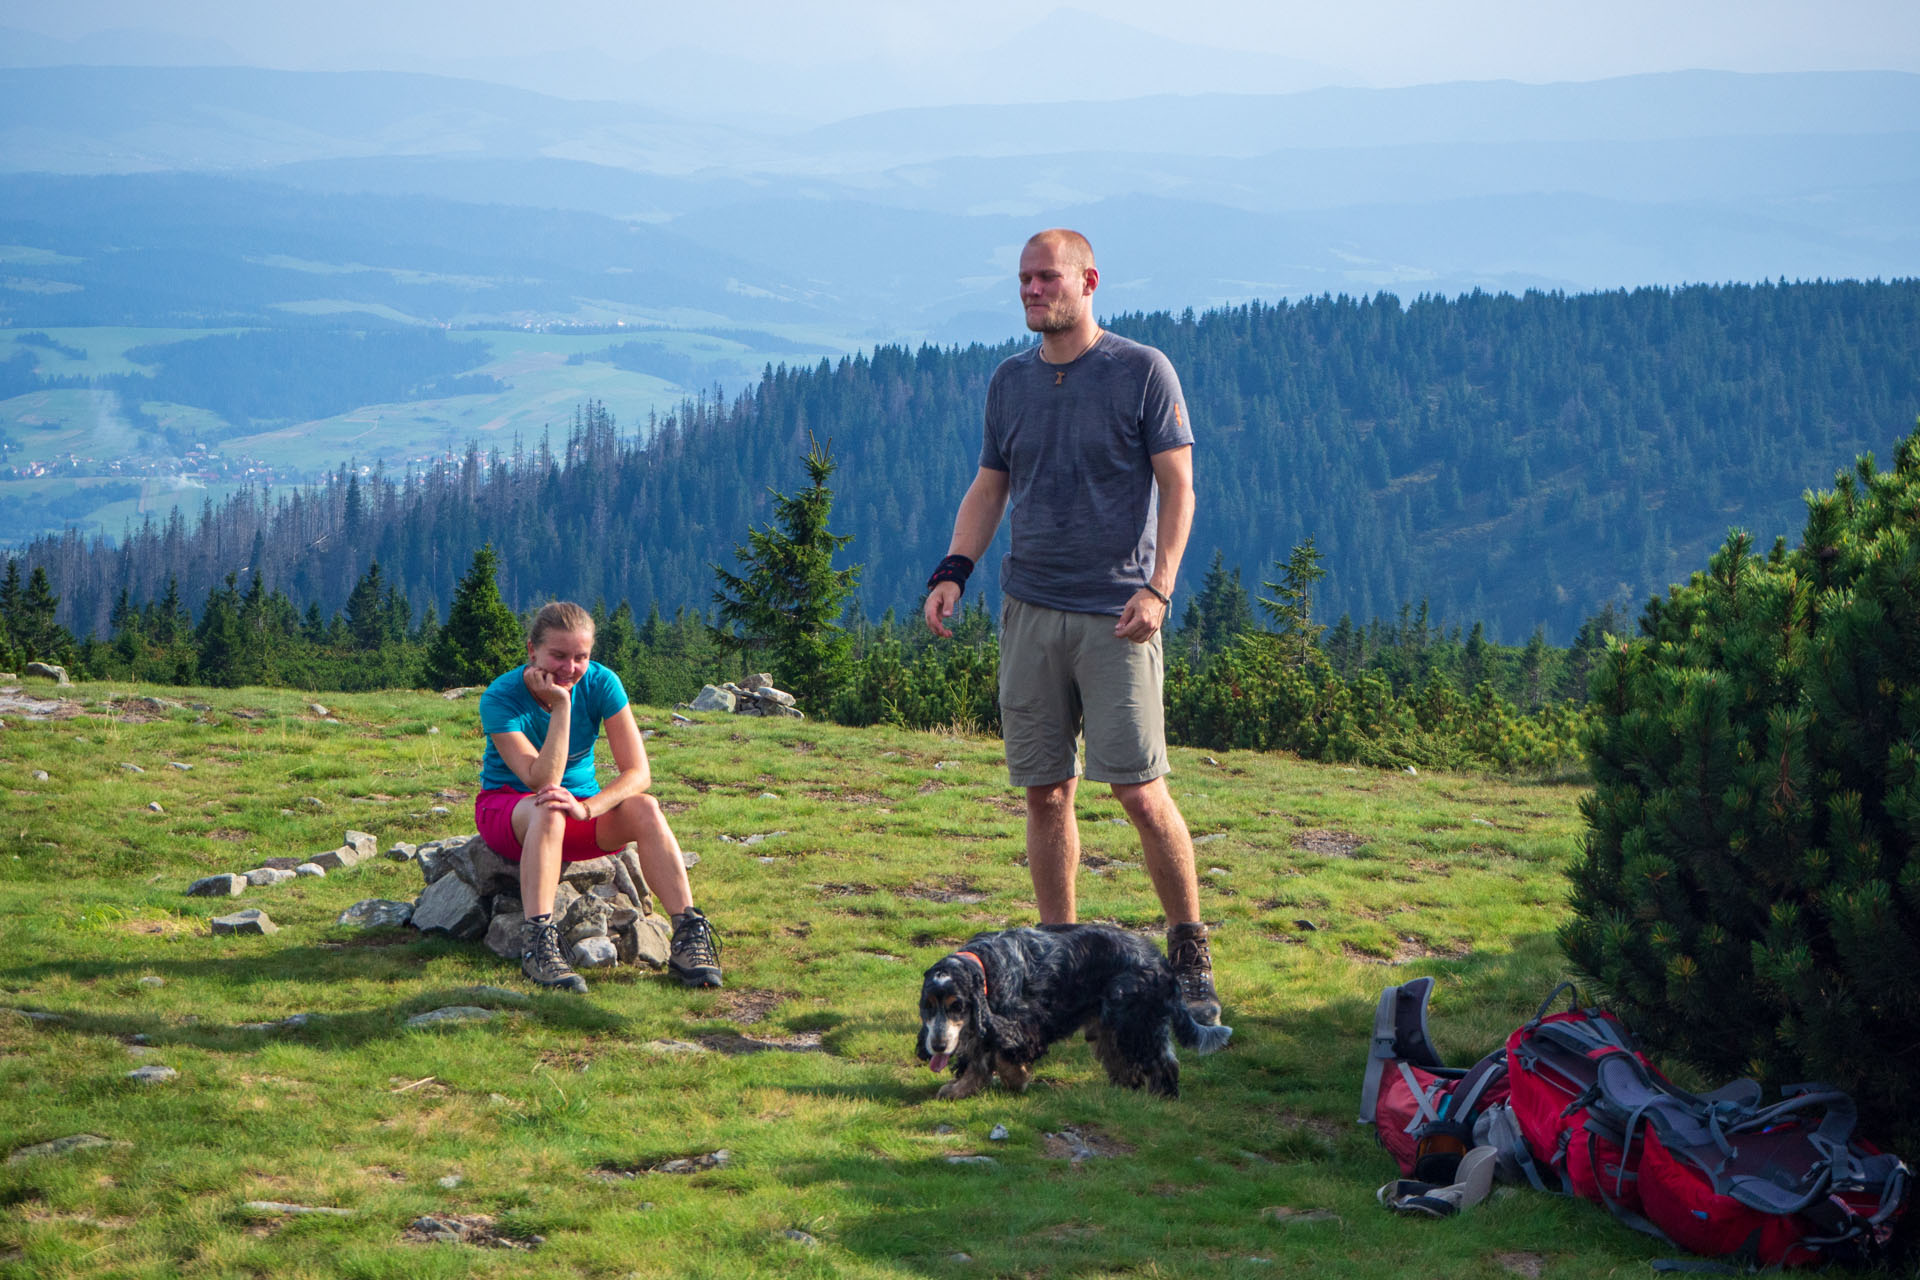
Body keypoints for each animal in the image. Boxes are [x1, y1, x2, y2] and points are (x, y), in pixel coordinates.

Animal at [913, 924, 1228, 1097]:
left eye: (957, 1006)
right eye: (927, 1007)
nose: (936, 1046)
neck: (986, 964)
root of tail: (1161, 962)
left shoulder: (1019, 1024)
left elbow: (1002, 1056)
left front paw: (1017, 1080)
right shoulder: (985, 1025)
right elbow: (978, 1060)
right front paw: (959, 1090)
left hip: (1134, 1022)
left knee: (1161, 1063)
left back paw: (1161, 1097)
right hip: (1112, 1026)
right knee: (1130, 1065)